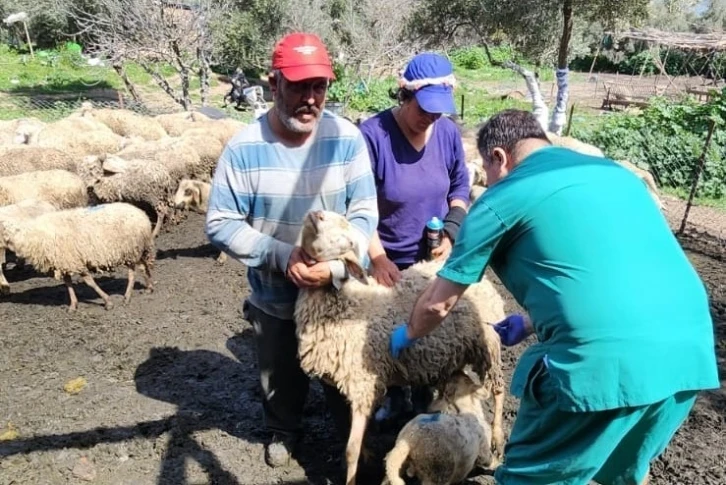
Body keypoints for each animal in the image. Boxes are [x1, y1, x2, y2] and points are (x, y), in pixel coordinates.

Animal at [1, 201, 156, 310]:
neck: (29, 236)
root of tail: (141, 214)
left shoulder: (74, 260)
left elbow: (89, 282)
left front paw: (108, 302)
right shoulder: (65, 262)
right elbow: (68, 283)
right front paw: (73, 305)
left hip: (131, 250)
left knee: (132, 273)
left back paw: (127, 297)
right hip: (138, 249)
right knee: (143, 267)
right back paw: (148, 288)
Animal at [292, 208, 506, 484]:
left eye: (347, 239)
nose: (316, 214)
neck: (346, 302)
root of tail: (484, 278)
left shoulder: (363, 382)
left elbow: (351, 449)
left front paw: (352, 474)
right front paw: (367, 455)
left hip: (489, 344)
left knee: (499, 390)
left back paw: (498, 439)